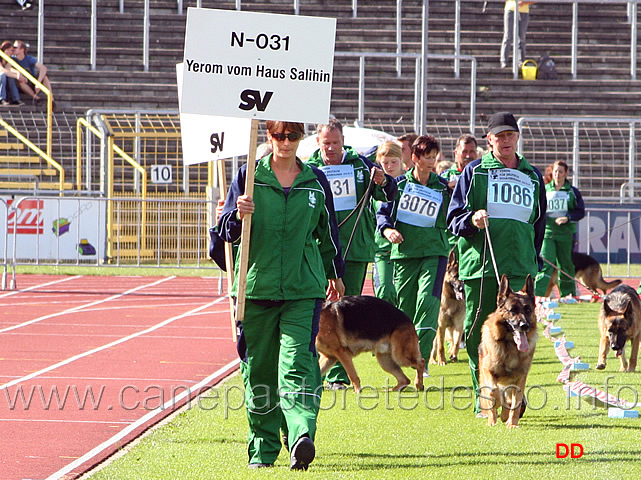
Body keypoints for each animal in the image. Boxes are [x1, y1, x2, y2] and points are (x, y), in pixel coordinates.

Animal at [478, 274, 536, 428]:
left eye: (528, 310)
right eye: (513, 310)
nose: (524, 325)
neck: (510, 345)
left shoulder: (520, 378)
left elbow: (515, 402)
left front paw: (512, 423)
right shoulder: (488, 371)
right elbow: (493, 393)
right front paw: (493, 420)